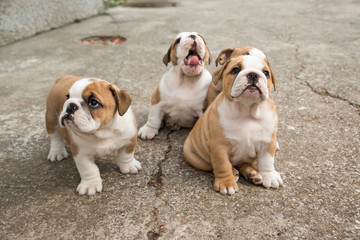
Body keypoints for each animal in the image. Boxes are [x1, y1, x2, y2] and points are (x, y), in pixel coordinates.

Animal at [184, 48, 282, 195]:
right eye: (235, 70)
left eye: (266, 73)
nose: (253, 74)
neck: (247, 110)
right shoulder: (219, 146)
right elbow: (222, 164)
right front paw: (226, 183)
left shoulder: (267, 142)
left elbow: (267, 161)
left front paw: (269, 176)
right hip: (193, 156)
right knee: (215, 165)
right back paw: (235, 172)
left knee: (243, 162)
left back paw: (253, 173)